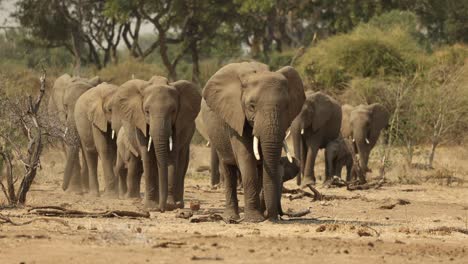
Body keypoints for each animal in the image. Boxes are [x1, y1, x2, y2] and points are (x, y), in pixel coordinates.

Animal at [115, 76, 201, 210]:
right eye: (146, 111)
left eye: (173, 111)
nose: (162, 208)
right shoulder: (140, 123)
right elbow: (148, 157)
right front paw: (151, 207)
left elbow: (172, 157)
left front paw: (170, 205)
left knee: (182, 162)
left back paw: (179, 204)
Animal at [200, 61, 304, 221]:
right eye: (252, 106)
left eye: (286, 106)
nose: (273, 218)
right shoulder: (235, 117)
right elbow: (247, 158)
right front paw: (255, 219)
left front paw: (263, 217)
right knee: (227, 168)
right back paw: (231, 217)